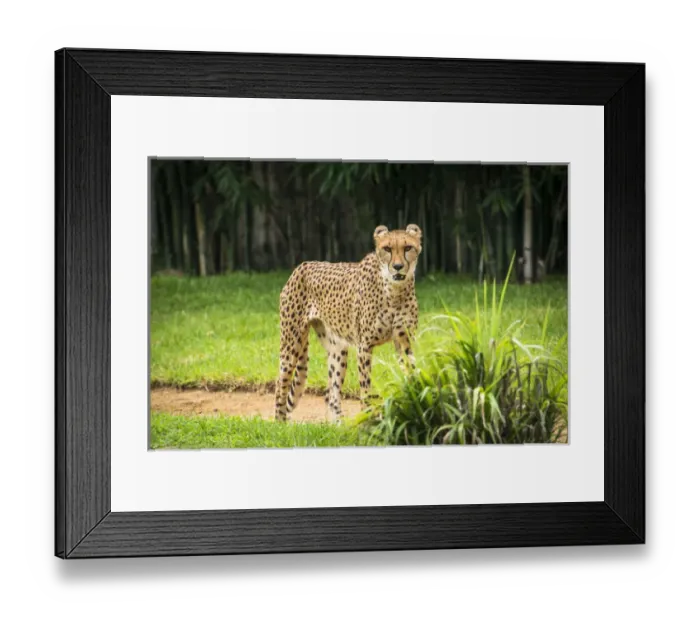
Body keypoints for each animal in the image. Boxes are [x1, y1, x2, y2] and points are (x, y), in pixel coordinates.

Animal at [274, 223, 423, 423]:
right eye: (387, 249)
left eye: (408, 248)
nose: (398, 267)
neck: (395, 292)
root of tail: (302, 266)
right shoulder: (364, 346)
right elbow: (365, 386)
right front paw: (368, 417)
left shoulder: (404, 341)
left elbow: (411, 373)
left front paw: (417, 400)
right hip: (290, 345)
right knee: (280, 384)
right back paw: (280, 422)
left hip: (338, 349)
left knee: (331, 392)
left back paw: (338, 424)